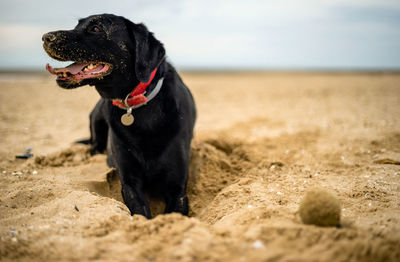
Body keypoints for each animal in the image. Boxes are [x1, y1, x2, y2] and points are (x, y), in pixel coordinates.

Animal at [41, 13, 195, 218]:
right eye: (77, 25)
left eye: (96, 28)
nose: (45, 37)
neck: (138, 107)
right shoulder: (130, 182)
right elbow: (140, 212)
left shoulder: (177, 189)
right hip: (96, 120)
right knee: (94, 146)